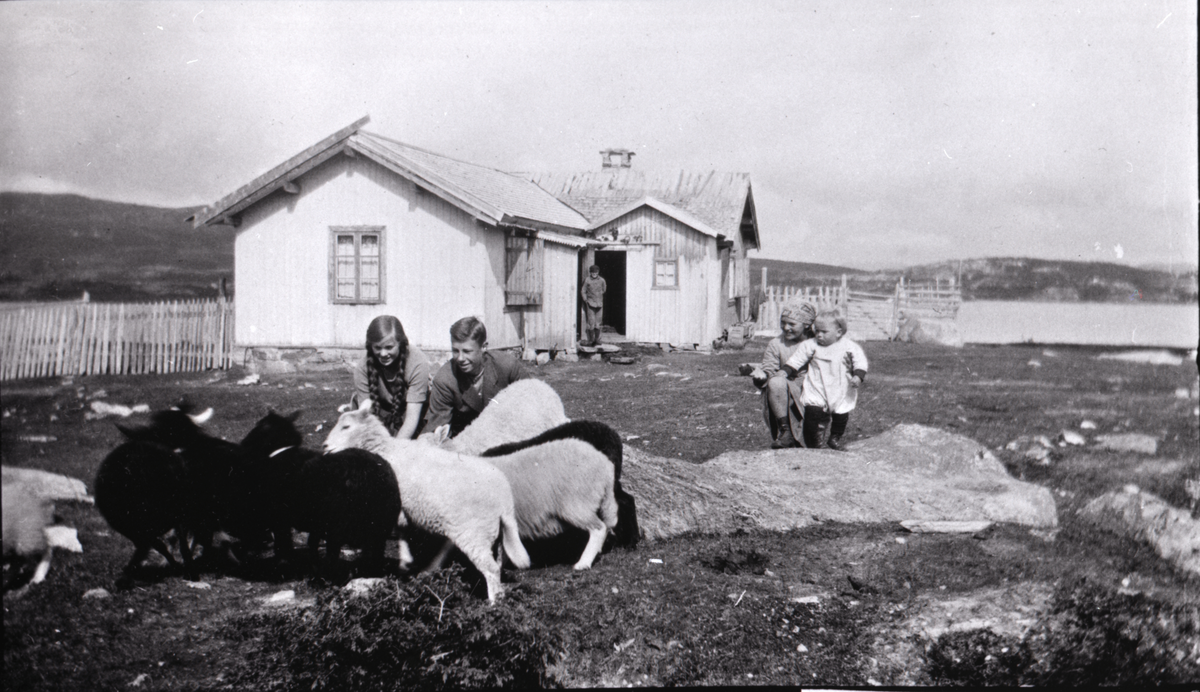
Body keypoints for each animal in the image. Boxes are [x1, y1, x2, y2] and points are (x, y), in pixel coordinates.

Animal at [236, 410, 400, 578]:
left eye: (261, 426)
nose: (242, 445)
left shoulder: (280, 517)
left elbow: (284, 544)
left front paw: (285, 565)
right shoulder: (315, 523)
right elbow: (311, 543)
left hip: (337, 525)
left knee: (334, 555)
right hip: (380, 525)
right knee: (374, 555)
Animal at [321, 395, 528, 602]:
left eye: (346, 426)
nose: (325, 447)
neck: (385, 450)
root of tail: (504, 498)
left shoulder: (394, 505)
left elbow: (397, 530)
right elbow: (403, 531)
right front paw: (406, 563)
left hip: (474, 531)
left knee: (490, 568)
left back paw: (493, 602)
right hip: (491, 531)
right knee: (497, 561)